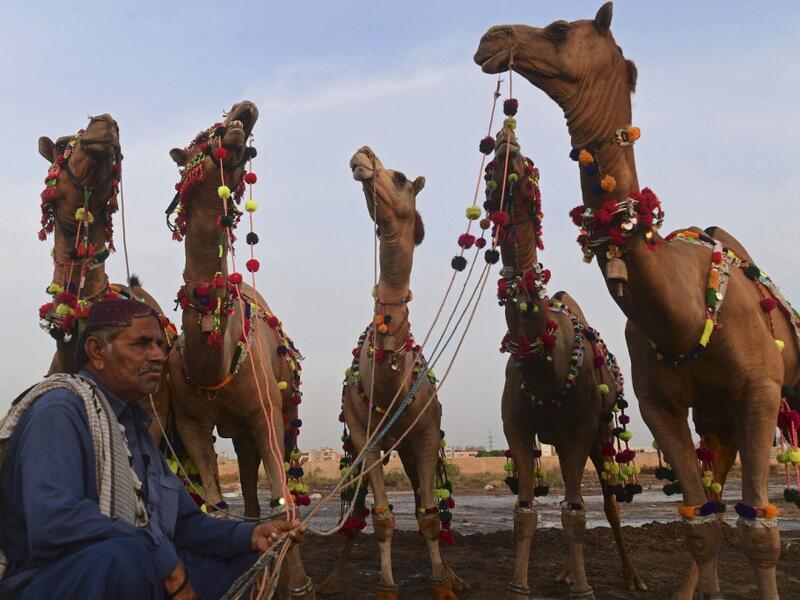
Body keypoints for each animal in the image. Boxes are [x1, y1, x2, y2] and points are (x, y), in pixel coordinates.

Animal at [166, 101, 314, 599]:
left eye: (243, 133)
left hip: (283, 408)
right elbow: (212, 501)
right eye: (197, 140)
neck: (212, 362)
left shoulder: (263, 411)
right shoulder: (191, 421)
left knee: (276, 476)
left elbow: (283, 500)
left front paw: (298, 585)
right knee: (247, 485)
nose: (242, 112)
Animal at [318, 146, 458, 600]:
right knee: (356, 511)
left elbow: (428, 514)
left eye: (399, 178)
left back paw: (453, 573)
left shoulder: (426, 432)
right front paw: (386, 587)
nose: (362, 156)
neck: (391, 375)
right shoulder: (366, 437)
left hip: (412, 447)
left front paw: (444, 585)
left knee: (422, 498)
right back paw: (331, 580)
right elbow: (381, 517)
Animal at [482, 119, 645, 599]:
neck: (546, 362)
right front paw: (519, 586)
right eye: (490, 168)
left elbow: (576, 512)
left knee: (606, 502)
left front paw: (585, 589)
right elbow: (524, 509)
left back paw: (627, 576)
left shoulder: (579, 428)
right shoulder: (516, 426)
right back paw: (566, 573)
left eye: (528, 165)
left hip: (600, 433)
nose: (506, 139)